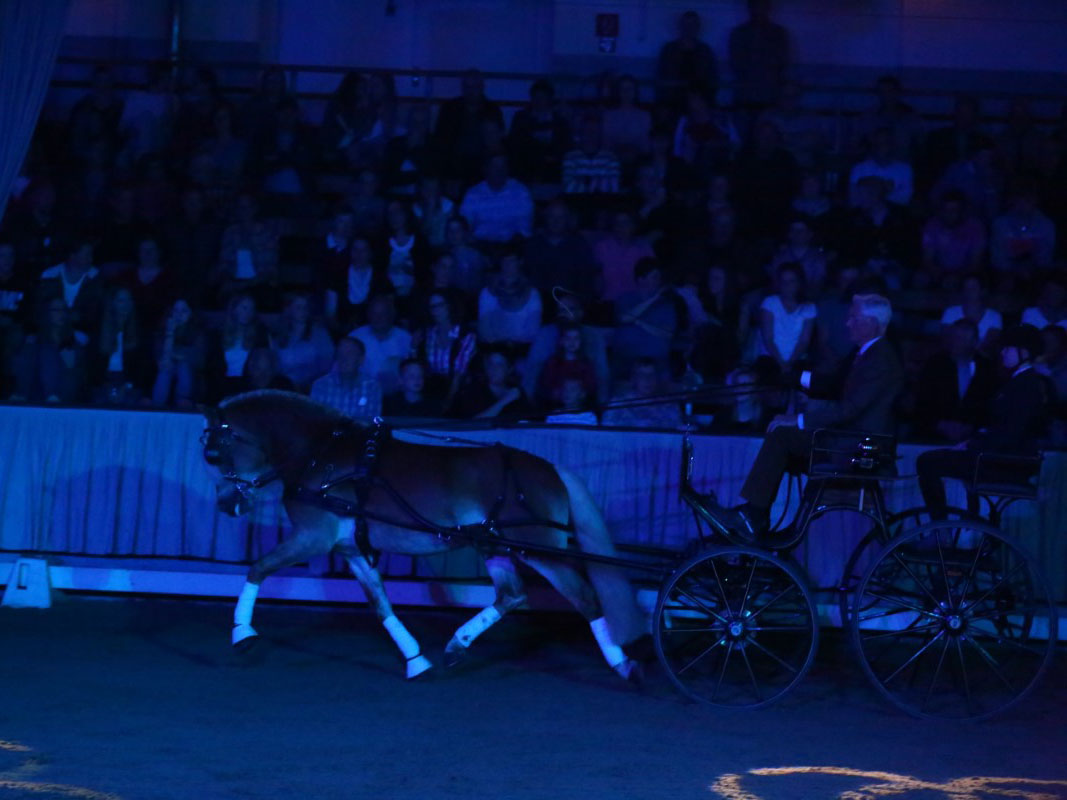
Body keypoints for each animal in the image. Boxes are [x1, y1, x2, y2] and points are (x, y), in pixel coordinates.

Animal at [202, 392, 644, 678]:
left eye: (216, 453)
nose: (225, 502)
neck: (320, 456)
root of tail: (551, 468)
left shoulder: (314, 537)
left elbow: (258, 568)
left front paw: (242, 633)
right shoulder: (349, 546)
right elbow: (380, 604)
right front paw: (416, 660)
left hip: (539, 550)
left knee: (584, 597)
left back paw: (621, 662)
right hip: (494, 544)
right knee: (512, 595)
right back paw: (457, 645)